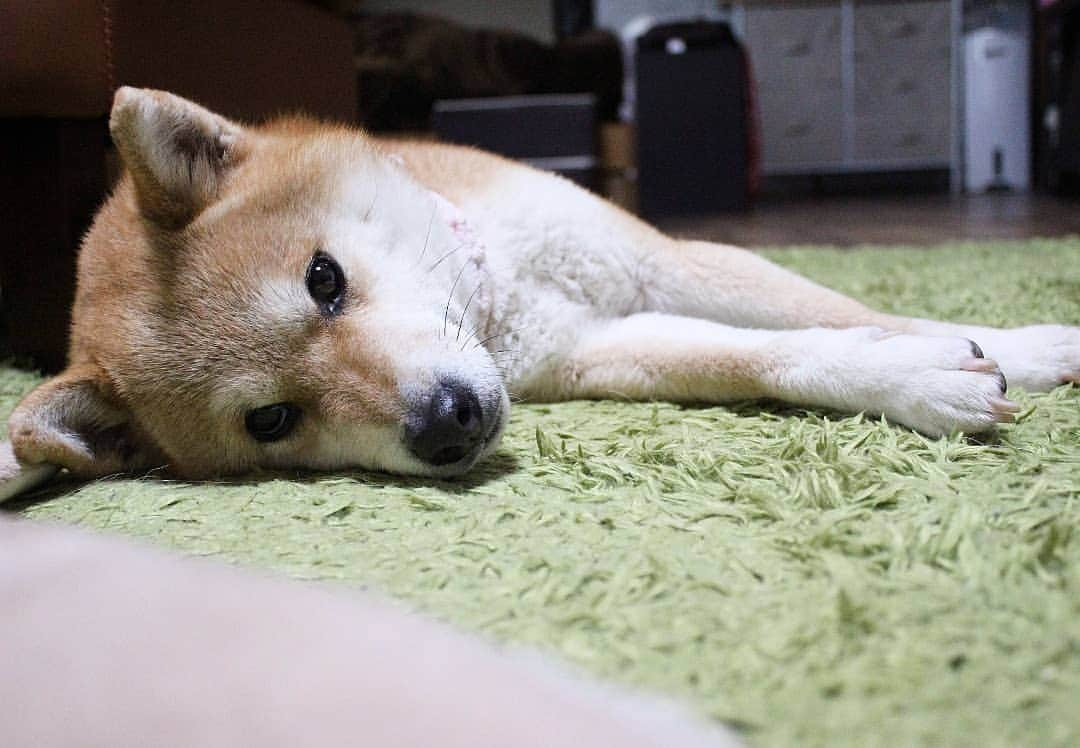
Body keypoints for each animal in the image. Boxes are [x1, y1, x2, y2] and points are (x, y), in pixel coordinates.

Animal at [0, 87, 1075, 496]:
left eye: (323, 279)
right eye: (271, 420)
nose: (446, 423)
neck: (499, 299)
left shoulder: (657, 259)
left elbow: (853, 314)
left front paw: (1020, 343)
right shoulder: (597, 351)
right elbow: (771, 355)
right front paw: (919, 382)